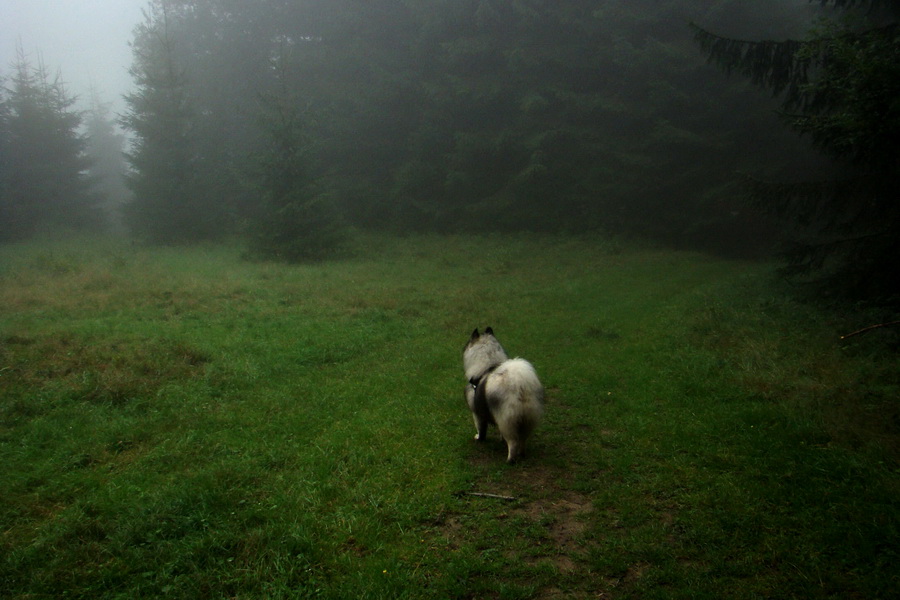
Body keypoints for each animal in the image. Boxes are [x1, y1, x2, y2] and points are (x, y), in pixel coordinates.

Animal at [464, 328, 540, 464]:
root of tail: (520, 384)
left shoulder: (477, 412)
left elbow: (481, 429)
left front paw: (479, 438)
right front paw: (500, 440)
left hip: (506, 419)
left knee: (513, 442)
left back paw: (510, 460)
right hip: (527, 419)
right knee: (522, 439)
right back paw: (521, 454)